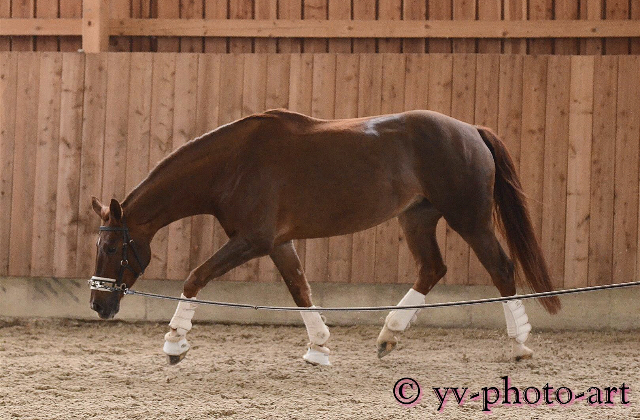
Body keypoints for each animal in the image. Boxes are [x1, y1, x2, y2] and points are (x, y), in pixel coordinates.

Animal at [90, 110, 560, 366]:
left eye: (112, 248)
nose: (98, 305)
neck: (233, 164)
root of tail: (470, 129)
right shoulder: (277, 243)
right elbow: (300, 290)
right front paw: (318, 349)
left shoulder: (253, 240)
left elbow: (195, 277)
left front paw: (175, 342)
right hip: (417, 218)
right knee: (432, 268)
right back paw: (388, 335)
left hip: (470, 219)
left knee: (501, 268)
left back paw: (519, 345)